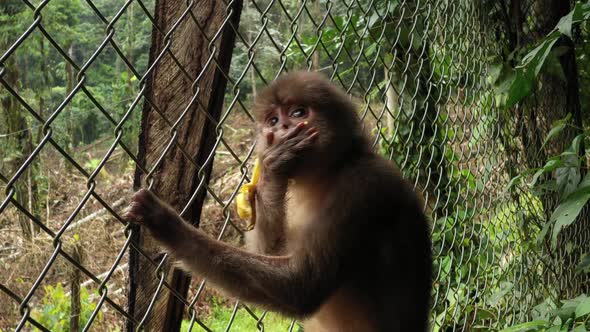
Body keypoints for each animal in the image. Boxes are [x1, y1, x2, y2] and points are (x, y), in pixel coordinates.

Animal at [122, 71, 432, 330]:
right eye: (273, 120)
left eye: (298, 112)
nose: (281, 127)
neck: (330, 172)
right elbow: (271, 251)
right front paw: (272, 172)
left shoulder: (361, 187)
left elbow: (302, 286)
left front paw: (167, 225)